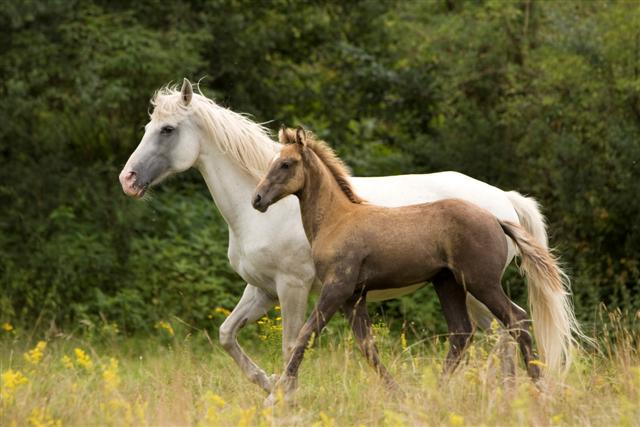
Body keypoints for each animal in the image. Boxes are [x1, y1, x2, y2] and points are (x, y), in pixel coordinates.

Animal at [121, 78, 556, 392]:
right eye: (149, 126)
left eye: (167, 130)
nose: (128, 179)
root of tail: (502, 201)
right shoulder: (261, 290)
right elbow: (227, 334)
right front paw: (267, 384)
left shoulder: (293, 287)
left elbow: (292, 342)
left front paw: (285, 394)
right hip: (461, 287)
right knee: (495, 332)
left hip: (474, 285)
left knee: (506, 330)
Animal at [254, 126, 580, 404]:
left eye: (286, 164)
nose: (257, 199)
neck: (336, 220)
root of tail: (497, 219)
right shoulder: (353, 297)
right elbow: (367, 346)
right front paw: (398, 394)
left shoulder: (337, 288)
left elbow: (304, 336)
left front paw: (275, 397)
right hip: (448, 283)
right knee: (462, 334)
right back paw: (435, 393)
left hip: (480, 282)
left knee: (517, 320)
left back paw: (540, 391)